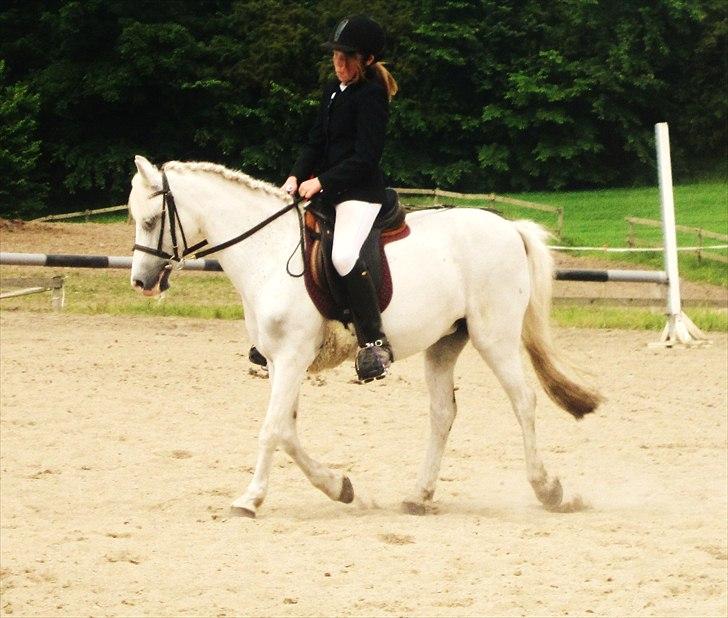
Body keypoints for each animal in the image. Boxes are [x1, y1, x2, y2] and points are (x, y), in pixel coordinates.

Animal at [128, 155, 602, 518]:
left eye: (152, 220)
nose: (141, 282)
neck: (267, 252)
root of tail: (509, 227)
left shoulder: (292, 357)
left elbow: (271, 429)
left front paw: (249, 499)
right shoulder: (283, 362)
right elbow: (287, 432)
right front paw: (341, 488)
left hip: (495, 336)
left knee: (523, 401)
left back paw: (548, 490)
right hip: (445, 341)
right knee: (442, 413)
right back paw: (418, 496)